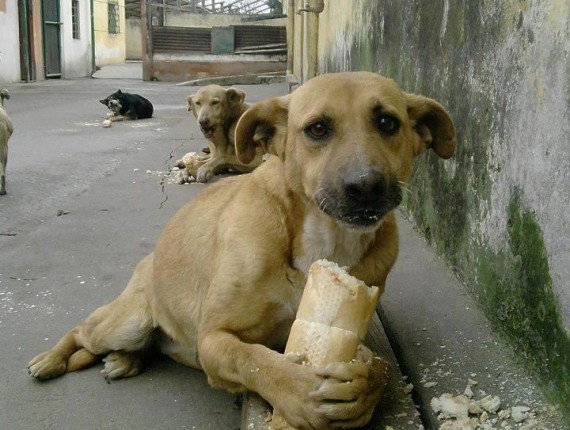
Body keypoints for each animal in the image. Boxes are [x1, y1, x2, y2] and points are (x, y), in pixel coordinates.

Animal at [27, 72, 458, 428]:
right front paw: (297, 390)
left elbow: (381, 367)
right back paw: (51, 359)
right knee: (81, 332)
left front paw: (365, 388)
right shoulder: (213, 339)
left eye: (387, 123)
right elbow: (253, 360)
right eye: (317, 129)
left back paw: (125, 361)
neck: (322, 240)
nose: (366, 186)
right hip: (125, 321)